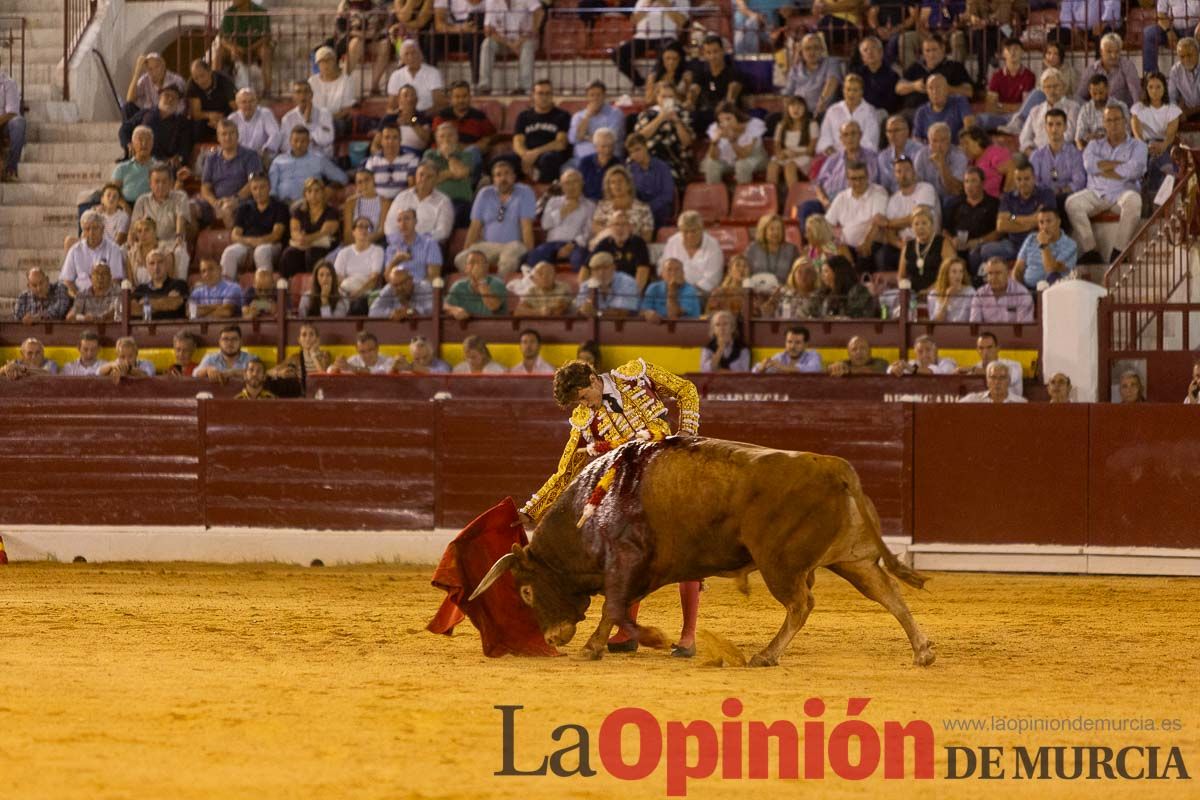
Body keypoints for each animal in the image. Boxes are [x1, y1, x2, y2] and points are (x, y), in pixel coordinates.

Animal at [468, 434, 936, 666]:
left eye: (526, 590)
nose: (552, 636)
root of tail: (835, 467)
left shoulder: (625, 560)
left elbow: (615, 608)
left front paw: (649, 639)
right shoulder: (637, 571)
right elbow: (613, 610)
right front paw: (598, 645)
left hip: (779, 564)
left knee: (801, 603)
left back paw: (765, 655)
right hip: (851, 558)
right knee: (888, 593)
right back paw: (922, 651)